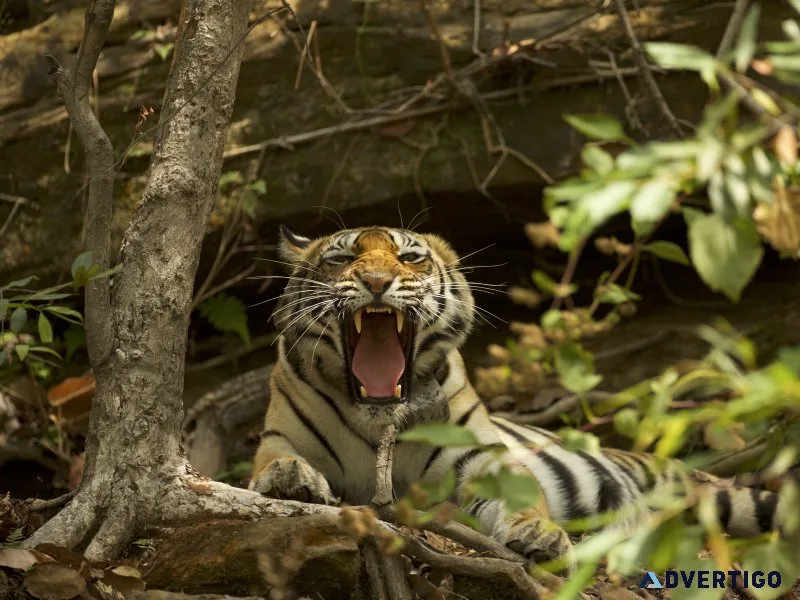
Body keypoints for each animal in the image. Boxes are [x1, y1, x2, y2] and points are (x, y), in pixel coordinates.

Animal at [249, 225, 787, 563]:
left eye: (409, 257)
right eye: (341, 258)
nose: (376, 281)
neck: (377, 414)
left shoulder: (478, 458)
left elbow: (521, 495)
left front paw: (539, 534)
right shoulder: (282, 434)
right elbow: (278, 459)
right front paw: (289, 477)